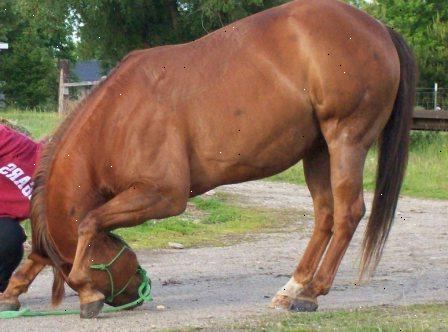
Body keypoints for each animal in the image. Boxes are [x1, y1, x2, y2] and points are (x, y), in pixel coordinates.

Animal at [0, 0, 416, 318]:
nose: (137, 290)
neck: (118, 116)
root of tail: (378, 27)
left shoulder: (163, 195)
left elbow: (88, 223)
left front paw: (87, 294)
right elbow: (42, 251)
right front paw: (12, 292)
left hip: (345, 139)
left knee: (348, 213)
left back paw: (312, 294)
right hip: (317, 151)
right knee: (325, 217)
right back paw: (293, 289)